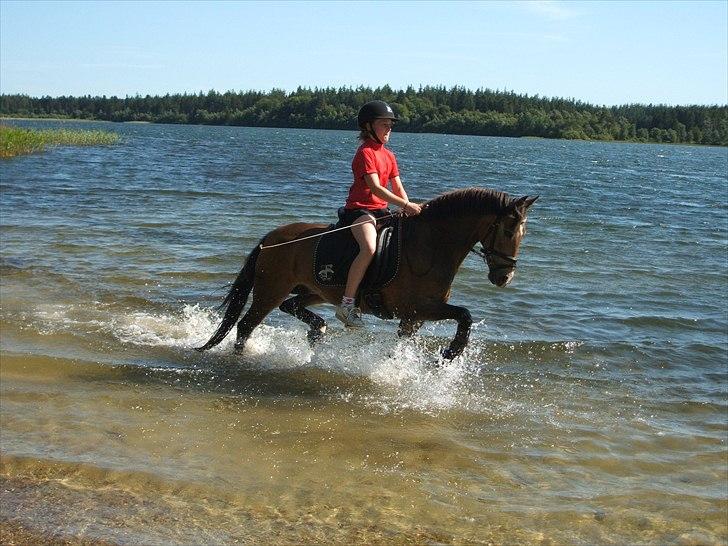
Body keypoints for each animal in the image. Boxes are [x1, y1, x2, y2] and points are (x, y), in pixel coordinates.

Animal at [196, 185, 536, 360]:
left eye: (523, 232)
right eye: (508, 230)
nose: (504, 277)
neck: (431, 243)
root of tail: (270, 238)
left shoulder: (413, 317)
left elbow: (404, 346)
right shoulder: (418, 307)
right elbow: (464, 315)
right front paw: (451, 353)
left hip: (315, 290)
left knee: (291, 307)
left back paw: (317, 329)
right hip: (271, 289)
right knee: (246, 325)